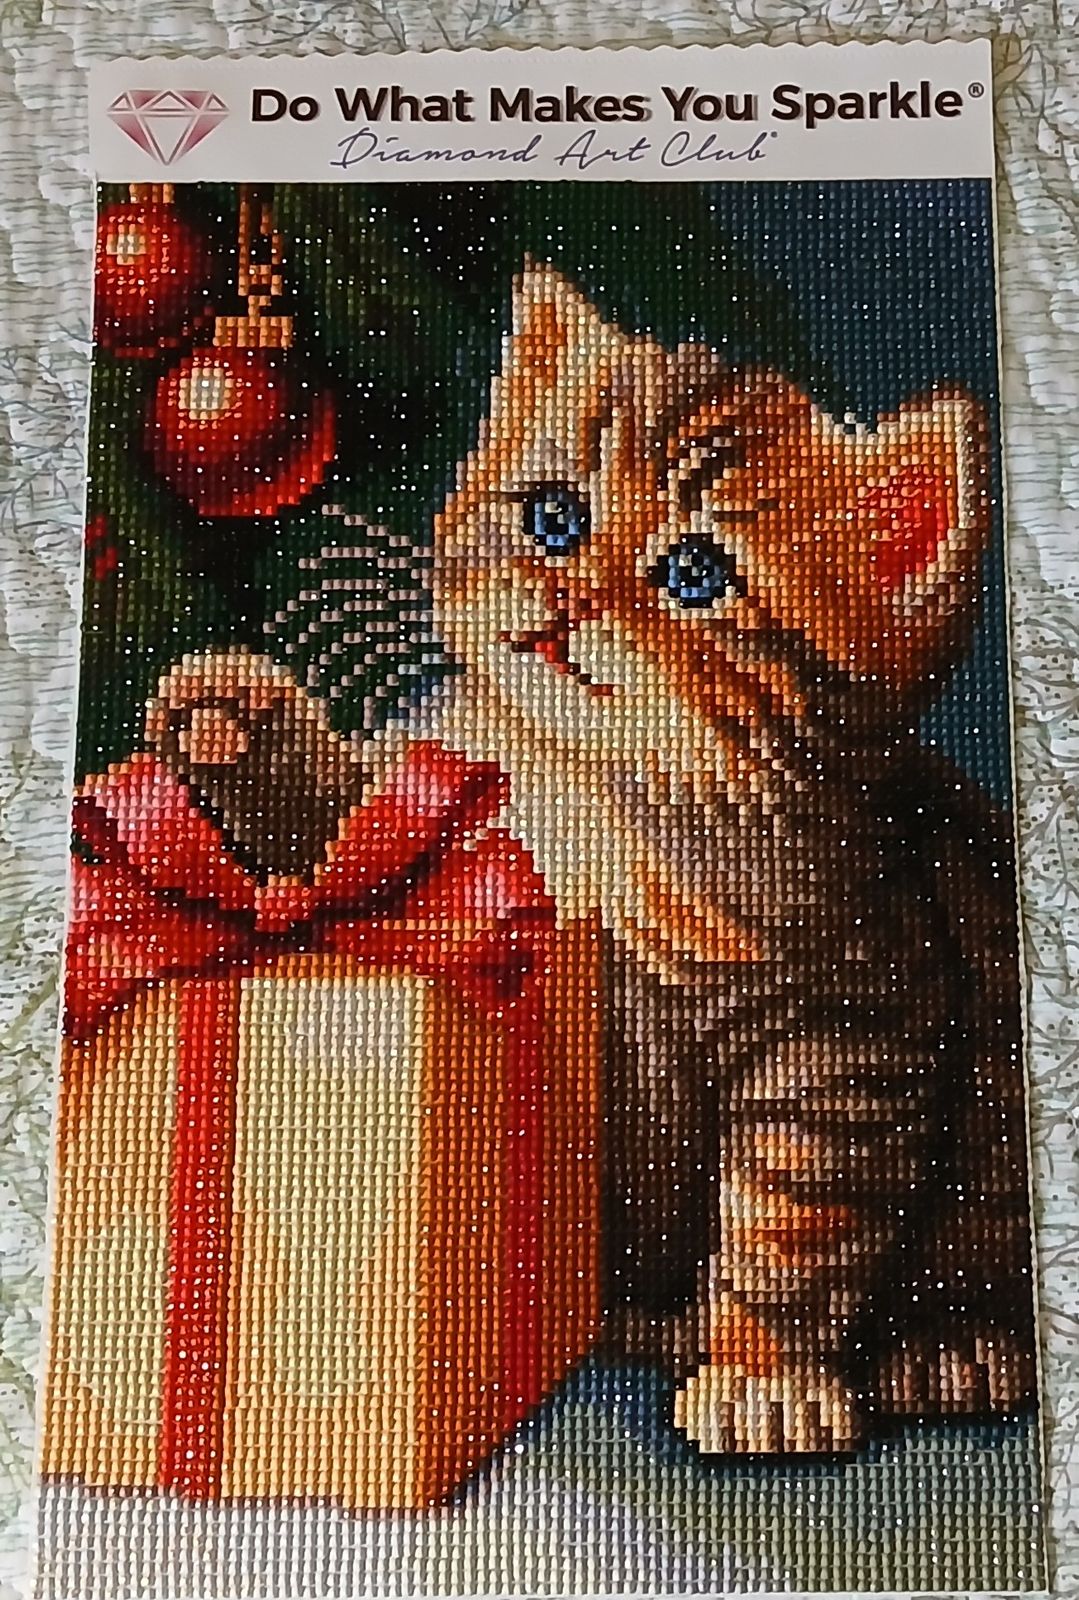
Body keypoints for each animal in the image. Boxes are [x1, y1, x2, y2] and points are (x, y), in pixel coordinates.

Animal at [148, 262, 1037, 1457]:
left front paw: (760, 1372)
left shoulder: (846, 1031)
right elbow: (355, 835)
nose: (567, 598)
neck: (597, 800)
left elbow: (792, 1223)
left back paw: (953, 1347)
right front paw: (241, 726)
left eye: (696, 573)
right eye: (553, 517)